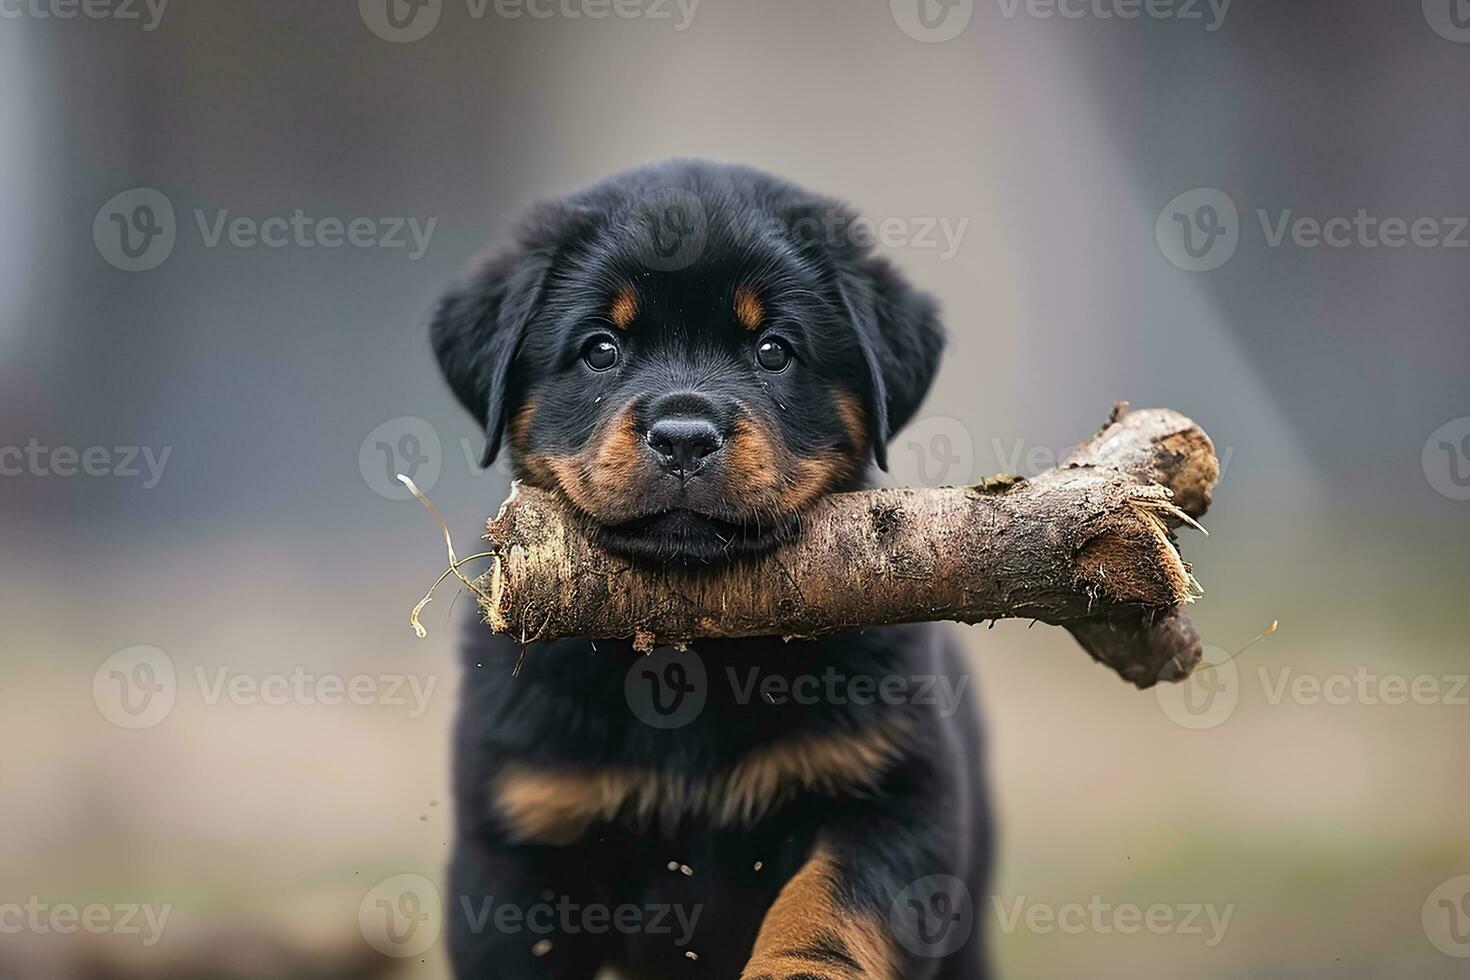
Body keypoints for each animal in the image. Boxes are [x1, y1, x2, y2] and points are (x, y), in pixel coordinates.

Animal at [429, 160, 993, 980]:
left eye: (774, 350)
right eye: (601, 349)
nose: (684, 438)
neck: (688, 642)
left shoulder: (892, 790)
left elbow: (829, 908)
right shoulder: (520, 834)